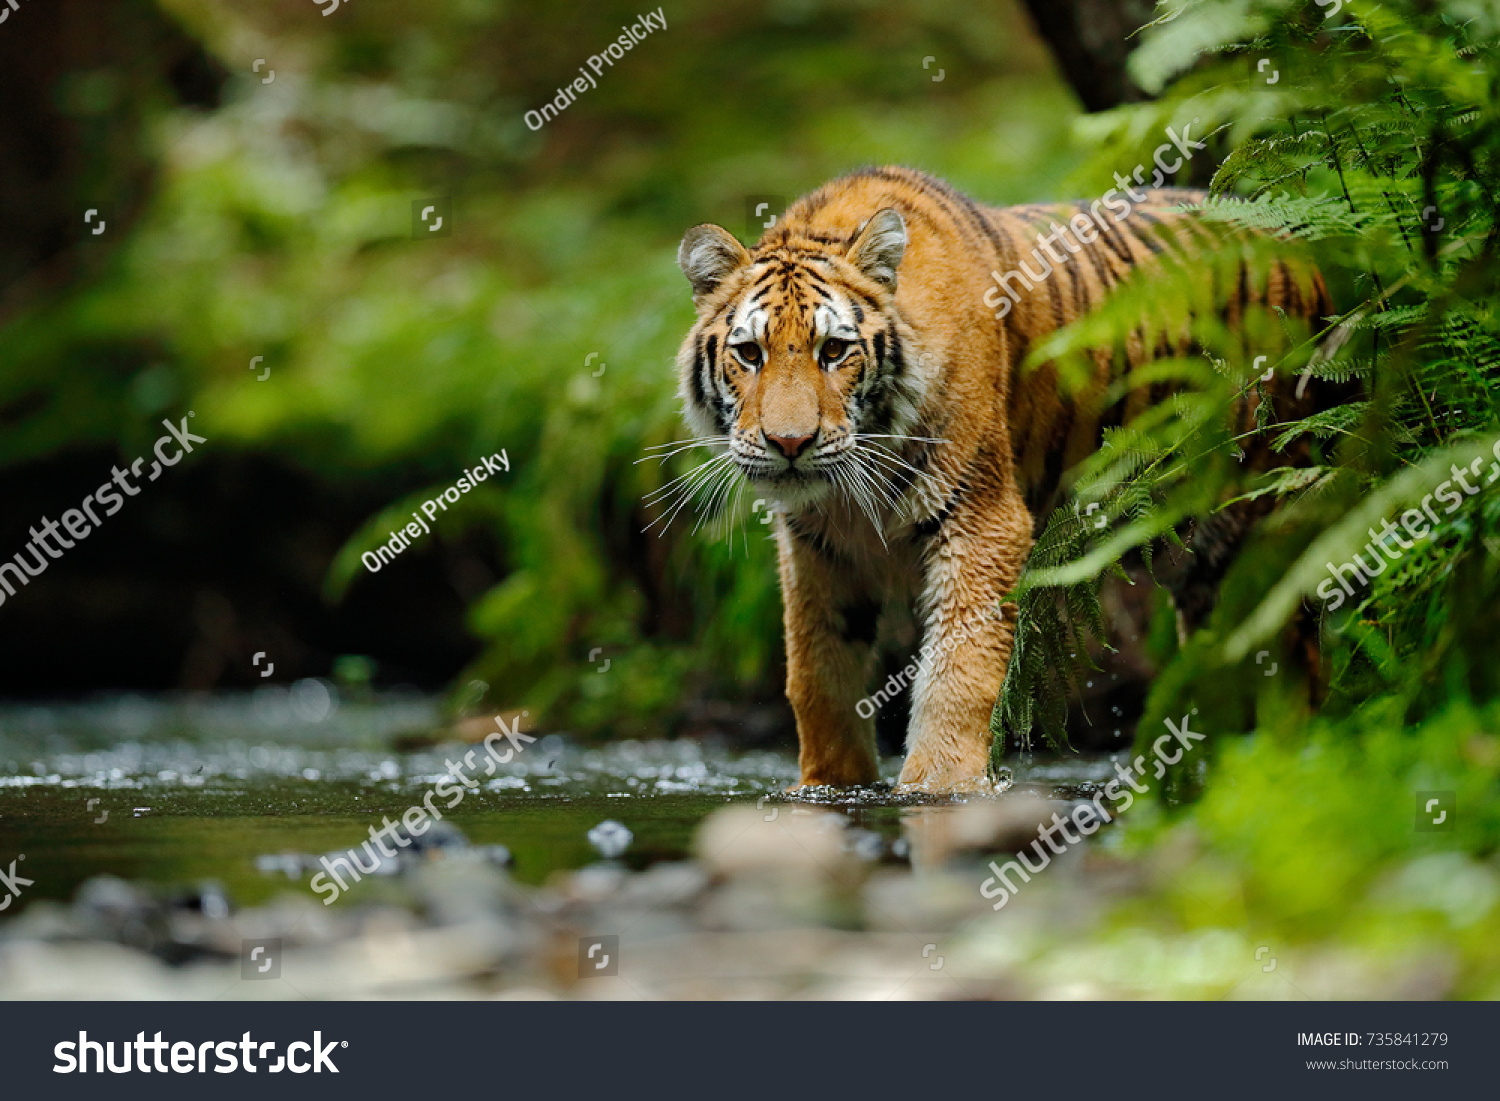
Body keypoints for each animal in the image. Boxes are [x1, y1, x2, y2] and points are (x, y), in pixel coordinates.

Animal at [671, 164, 1334, 793]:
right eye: (750, 354)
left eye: (834, 351)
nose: (789, 444)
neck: (850, 491)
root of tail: (1299, 244)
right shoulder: (818, 550)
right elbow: (817, 676)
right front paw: (828, 786)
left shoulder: (981, 519)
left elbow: (957, 671)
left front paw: (939, 787)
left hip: (1261, 525)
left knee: (1294, 655)